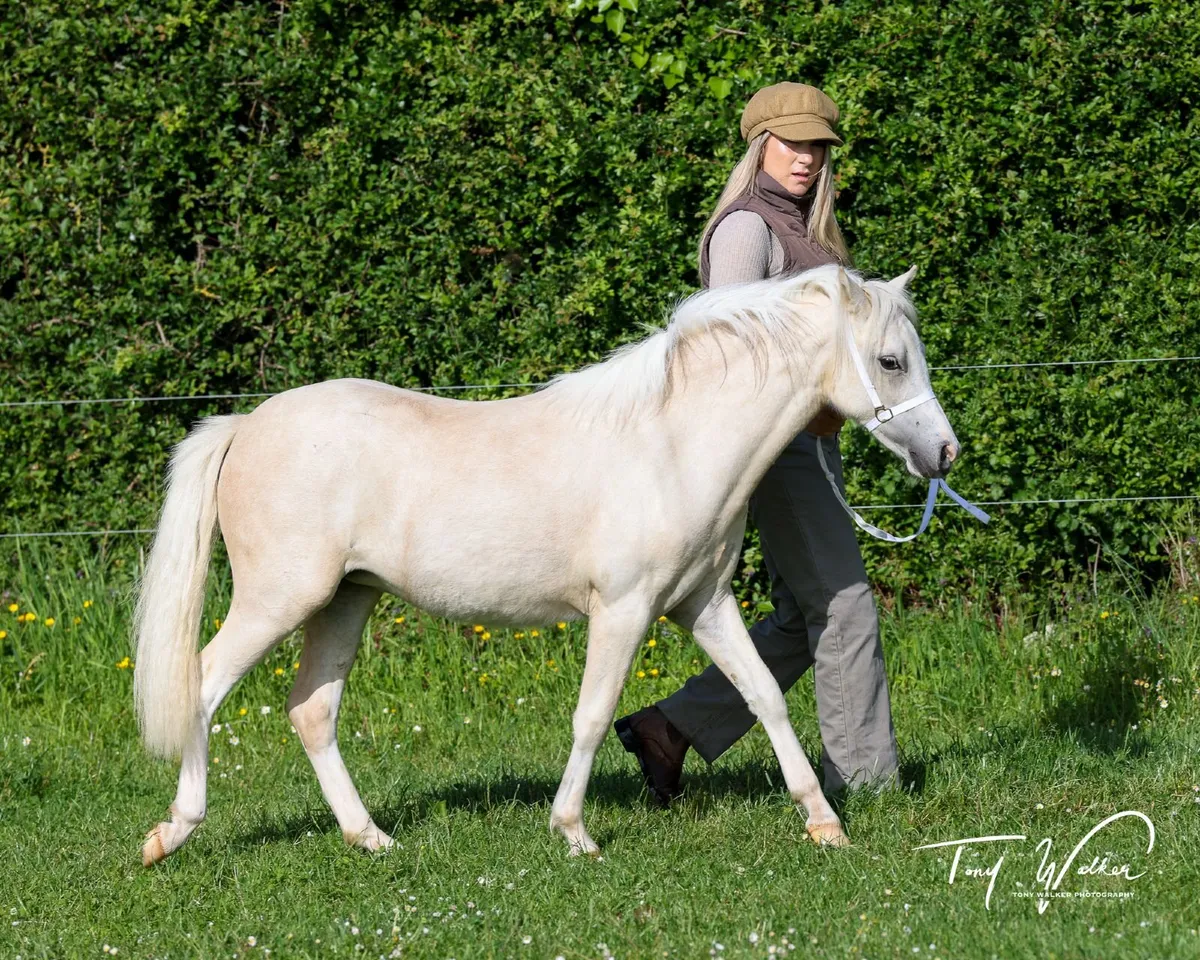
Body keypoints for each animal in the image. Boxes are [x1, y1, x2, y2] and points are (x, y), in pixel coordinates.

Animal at [133, 262, 960, 865]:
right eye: (890, 360)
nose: (945, 451)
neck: (672, 445)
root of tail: (246, 424)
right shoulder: (623, 609)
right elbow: (592, 715)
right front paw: (574, 832)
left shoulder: (703, 604)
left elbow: (764, 696)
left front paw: (824, 824)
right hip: (280, 598)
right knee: (201, 685)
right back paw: (171, 833)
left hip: (345, 600)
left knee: (311, 710)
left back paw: (371, 837)